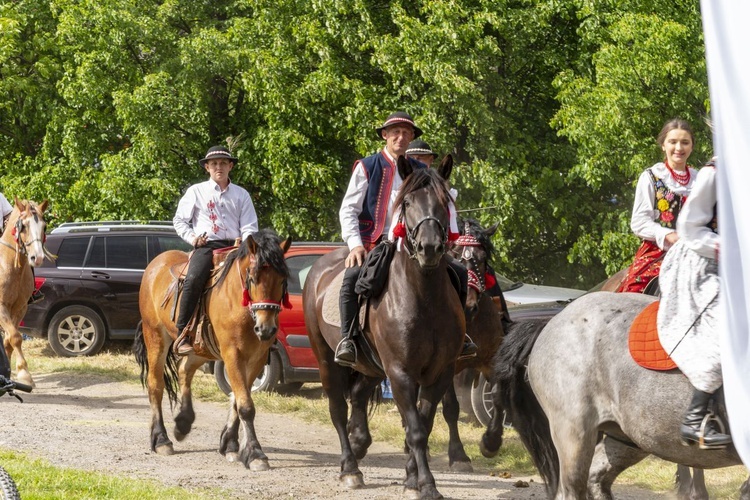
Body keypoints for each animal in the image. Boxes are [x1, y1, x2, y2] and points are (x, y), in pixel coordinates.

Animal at [0, 198, 52, 386]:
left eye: (44, 226)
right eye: (23, 226)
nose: (37, 257)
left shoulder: (20, 308)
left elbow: (9, 340)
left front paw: (12, 373)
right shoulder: (1, 307)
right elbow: (15, 336)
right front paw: (24, 374)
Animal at [134, 229, 290, 470]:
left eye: (282, 280)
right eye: (252, 278)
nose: (266, 328)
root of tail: (154, 266)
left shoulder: (256, 357)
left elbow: (237, 399)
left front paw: (231, 444)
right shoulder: (232, 354)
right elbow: (245, 405)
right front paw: (256, 454)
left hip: (200, 349)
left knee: (184, 370)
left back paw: (183, 423)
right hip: (156, 338)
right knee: (156, 385)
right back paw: (161, 439)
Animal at [304, 156, 468, 500]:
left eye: (445, 202)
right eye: (406, 202)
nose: (430, 247)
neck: (423, 297)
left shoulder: (440, 372)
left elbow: (423, 424)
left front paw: (411, 477)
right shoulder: (400, 372)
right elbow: (415, 429)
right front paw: (426, 484)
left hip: (370, 366)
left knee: (358, 396)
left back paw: (359, 443)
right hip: (327, 359)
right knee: (337, 408)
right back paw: (350, 468)